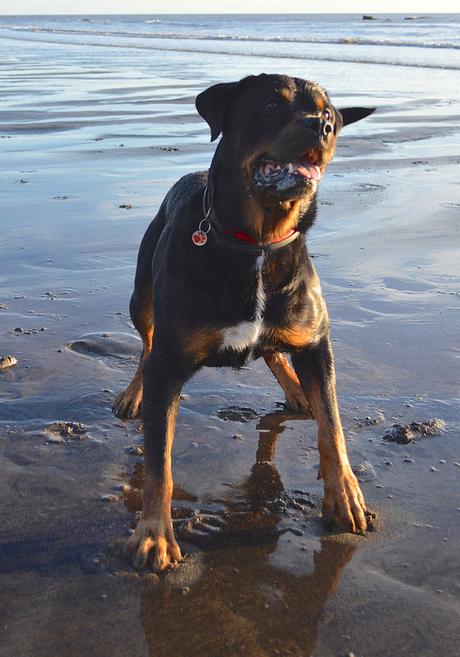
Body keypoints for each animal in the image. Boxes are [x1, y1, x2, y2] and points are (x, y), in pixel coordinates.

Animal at [113, 73, 376, 568]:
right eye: (272, 104)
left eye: (328, 113)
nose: (321, 127)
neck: (257, 242)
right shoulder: (170, 361)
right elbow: (158, 461)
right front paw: (154, 534)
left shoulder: (317, 343)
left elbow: (332, 427)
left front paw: (346, 498)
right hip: (141, 296)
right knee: (145, 343)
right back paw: (133, 394)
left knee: (274, 352)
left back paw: (295, 389)